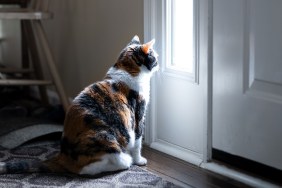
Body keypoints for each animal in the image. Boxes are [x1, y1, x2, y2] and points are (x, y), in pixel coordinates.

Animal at [0, 35, 159, 176]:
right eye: (153, 55)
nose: (158, 60)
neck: (128, 69)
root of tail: (62, 157)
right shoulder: (138, 115)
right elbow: (138, 142)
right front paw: (139, 160)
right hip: (105, 136)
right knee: (87, 169)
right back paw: (126, 161)